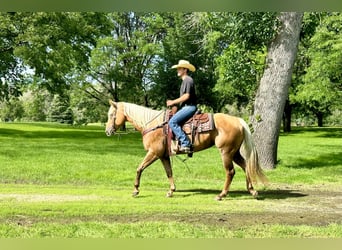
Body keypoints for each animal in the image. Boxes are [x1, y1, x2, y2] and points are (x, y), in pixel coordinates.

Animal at [104, 100, 268, 200]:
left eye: (112, 114)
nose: (108, 131)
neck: (152, 124)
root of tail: (238, 120)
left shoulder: (153, 153)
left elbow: (139, 168)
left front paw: (136, 190)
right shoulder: (163, 155)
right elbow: (169, 172)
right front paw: (171, 190)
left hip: (226, 152)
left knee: (231, 172)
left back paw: (221, 195)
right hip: (234, 152)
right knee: (246, 166)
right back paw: (252, 190)